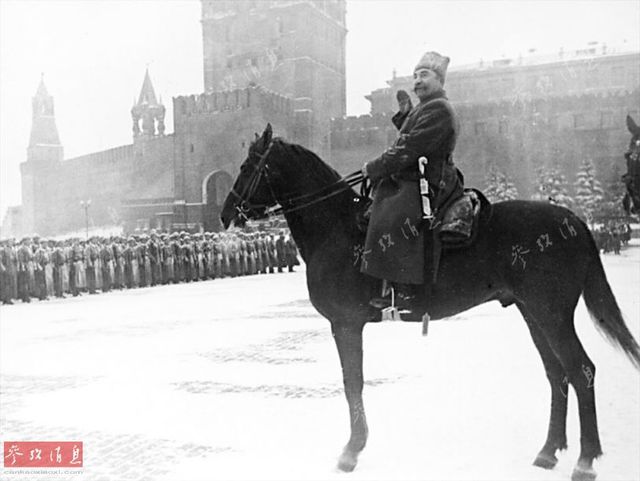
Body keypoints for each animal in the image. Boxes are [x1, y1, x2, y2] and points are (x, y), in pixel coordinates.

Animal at [221, 124, 640, 480]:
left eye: (247, 166)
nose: (225, 213)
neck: (336, 228)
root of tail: (574, 221)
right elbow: (353, 382)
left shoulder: (345, 323)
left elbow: (352, 382)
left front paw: (352, 450)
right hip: (533, 313)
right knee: (558, 374)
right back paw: (549, 451)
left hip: (551, 314)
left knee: (581, 371)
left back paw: (586, 459)